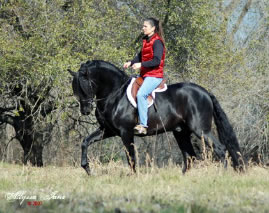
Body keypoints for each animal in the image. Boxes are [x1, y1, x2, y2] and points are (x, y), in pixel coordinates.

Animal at [68, 59, 244, 175]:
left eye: (84, 85)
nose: (85, 110)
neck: (115, 94)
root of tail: (205, 92)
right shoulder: (108, 130)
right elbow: (85, 142)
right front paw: (87, 168)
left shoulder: (126, 132)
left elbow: (131, 156)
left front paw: (134, 176)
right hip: (181, 132)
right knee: (190, 156)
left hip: (200, 130)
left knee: (220, 149)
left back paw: (222, 175)